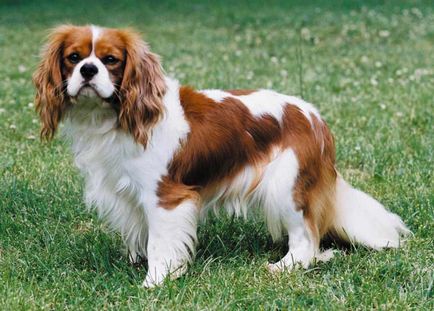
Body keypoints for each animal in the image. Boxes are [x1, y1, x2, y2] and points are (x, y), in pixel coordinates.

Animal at [32, 25, 408, 288]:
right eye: (73, 58)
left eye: (110, 60)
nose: (88, 71)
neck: (114, 118)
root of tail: (315, 117)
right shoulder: (125, 192)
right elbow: (140, 233)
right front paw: (137, 263)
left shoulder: (166, 197)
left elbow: (160, 243)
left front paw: (155, 281)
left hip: (286, 188)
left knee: (306, 242)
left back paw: (283, 267)